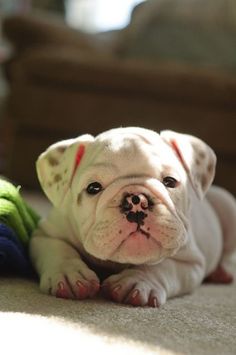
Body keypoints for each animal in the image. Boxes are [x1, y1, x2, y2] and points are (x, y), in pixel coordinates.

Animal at [30, 128, 236, 308]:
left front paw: (137, 281)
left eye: (170, 181)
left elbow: (162, 266)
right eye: (93, 187)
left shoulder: (189, 262)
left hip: (227, 204)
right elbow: (59, 249)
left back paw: (223, 272)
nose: (137, 200)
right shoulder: (45, 235)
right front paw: (68, 274)